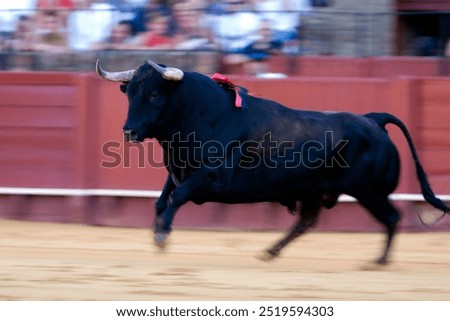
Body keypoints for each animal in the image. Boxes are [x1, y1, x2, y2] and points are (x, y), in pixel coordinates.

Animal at [95, 59, 446, 262]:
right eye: (130, 93)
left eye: (155, 95)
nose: (129, 131)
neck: (200, 114)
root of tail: (373, 119)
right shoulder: (178, 171)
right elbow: (161, 199)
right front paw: (157, 228)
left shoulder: (211, 177)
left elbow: (178, 196)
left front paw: (162, 234)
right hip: (316, 192)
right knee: (306, 222)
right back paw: (270, 251)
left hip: (369, 192)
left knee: (392, 217)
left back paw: (380, 261)